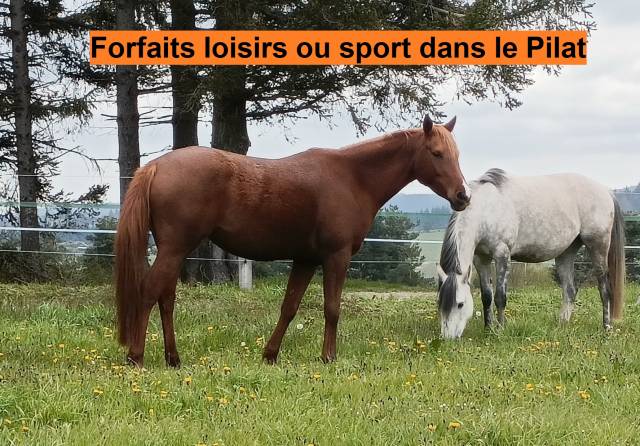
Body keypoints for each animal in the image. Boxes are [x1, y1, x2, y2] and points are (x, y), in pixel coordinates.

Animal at [115, 116, 471, 367]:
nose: (463, 196)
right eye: (437, 154)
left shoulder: (306, 260)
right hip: (174, 249)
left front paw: (270, 354)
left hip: (174, 250)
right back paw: (136, 356)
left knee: (166, 299)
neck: (353, 178)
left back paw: (173, 359)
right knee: (149, 293)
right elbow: (332, 308)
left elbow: (289, 307)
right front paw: (328, 357)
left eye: (457, 154)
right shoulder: (336, 257)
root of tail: (156, 166)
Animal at [436, 168, 625, 339]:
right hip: (566, 253)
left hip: (598, 247)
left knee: (604, 288)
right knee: (570, 290)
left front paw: (500, 330)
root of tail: (606, 190)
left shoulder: (502, 255)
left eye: (460, 304)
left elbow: (500, 297)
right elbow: (487, 297)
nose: (448, 339)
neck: (487, 207)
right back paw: (562, 325)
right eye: (439, 304)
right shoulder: (481, 259)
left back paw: (606, 327)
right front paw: (488, 329)